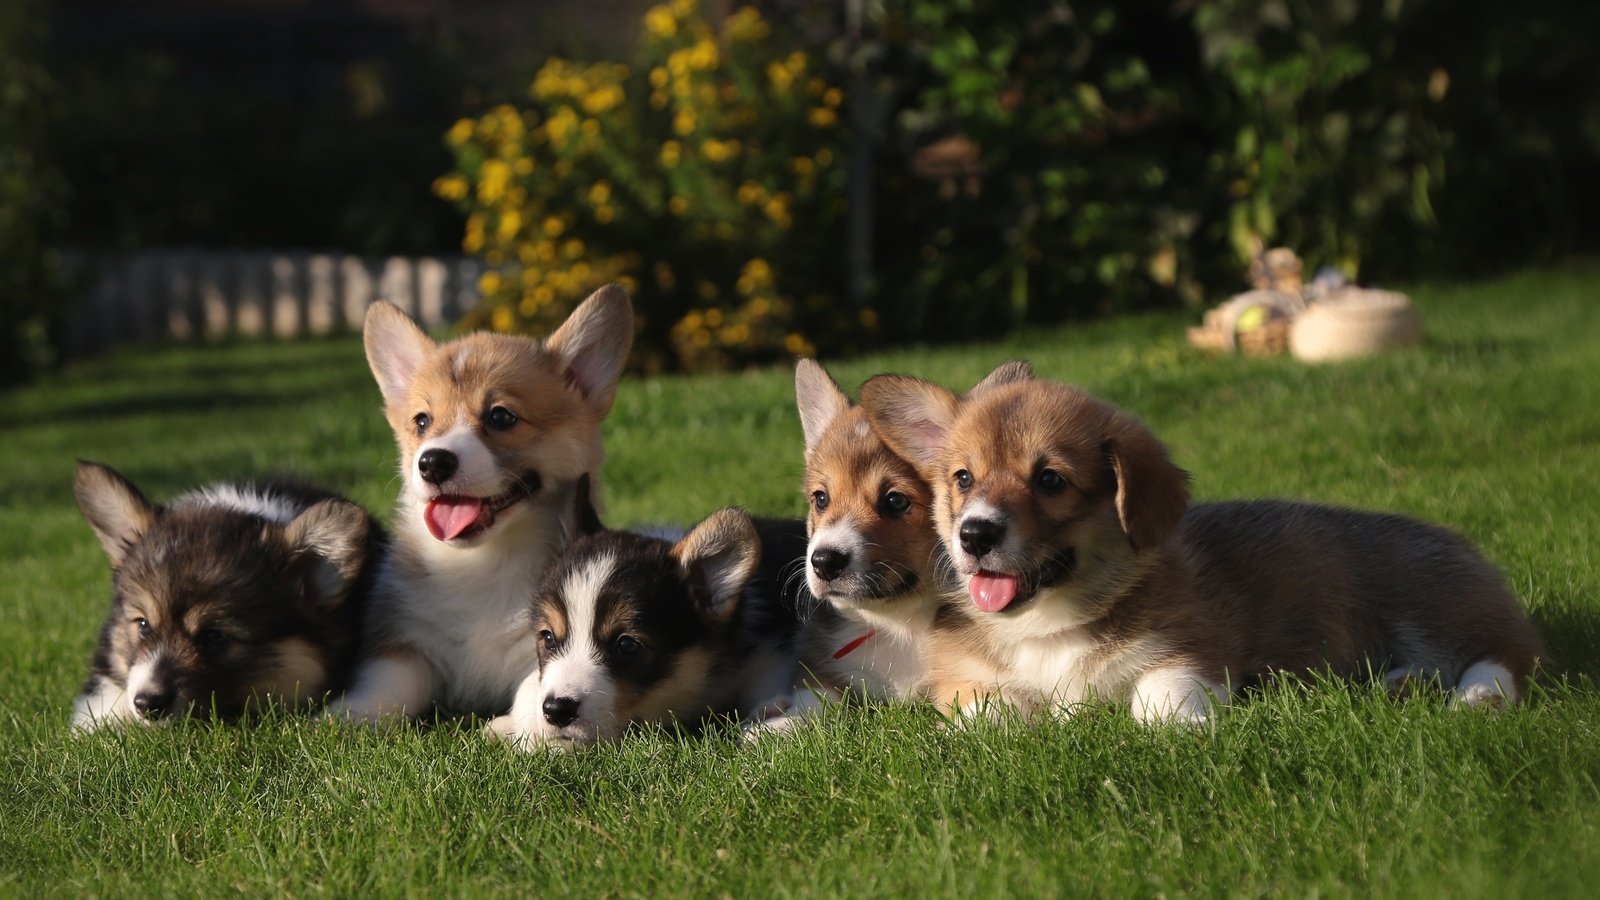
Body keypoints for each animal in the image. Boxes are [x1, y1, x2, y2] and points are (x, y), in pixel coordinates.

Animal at [329, 286, 630, 720]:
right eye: (422, 421)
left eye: (500, 416)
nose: (432, 463)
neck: (481, 564)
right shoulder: (408, 637)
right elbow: (387, 680)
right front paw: (345, 715)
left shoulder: (543, 645)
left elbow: (534, 688)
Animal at [864, 365, 1548, 720]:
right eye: (963, 478)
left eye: (1050, 480)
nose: (974, 534)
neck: (1051, 626)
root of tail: (1462, 545)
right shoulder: (965, 679)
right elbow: (995, 713)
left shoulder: (1190, 649)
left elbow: (1158, 705)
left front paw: (1171, 730)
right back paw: (1396, 683)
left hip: (1437, 607)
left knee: (1508, 657)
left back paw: (1474, 698)